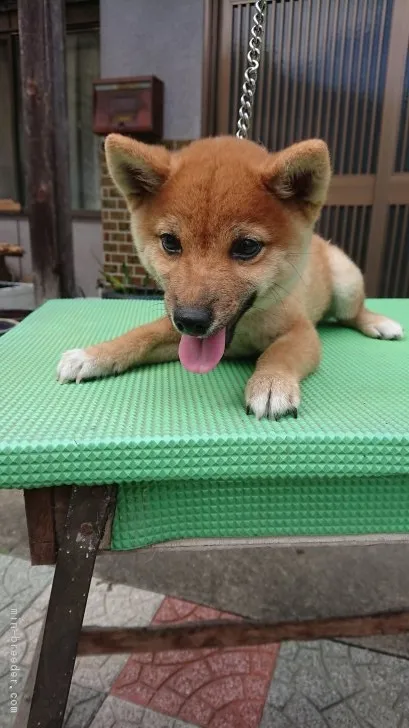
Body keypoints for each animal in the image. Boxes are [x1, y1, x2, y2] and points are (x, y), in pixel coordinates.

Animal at [56, 134, 402, 418]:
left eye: (247, 247)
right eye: (170, 242)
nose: (190, 320)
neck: (244, 329)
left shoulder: (301, 331)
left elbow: (280, 353)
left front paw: (271, 382)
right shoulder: (175, 330)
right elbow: (141, 334)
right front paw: (95, 355)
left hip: (346, 283)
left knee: (353, 313)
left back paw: (379, 323)